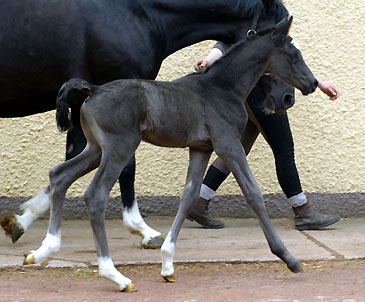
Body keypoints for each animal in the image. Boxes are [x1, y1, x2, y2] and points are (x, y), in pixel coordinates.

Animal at [1, 0, 288, 247]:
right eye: (281, 38)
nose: (286, 97)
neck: (136, 13)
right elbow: (127, 168)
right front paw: (143, 229)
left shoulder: (84, 106)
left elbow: (71, 159)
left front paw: (21, 221)